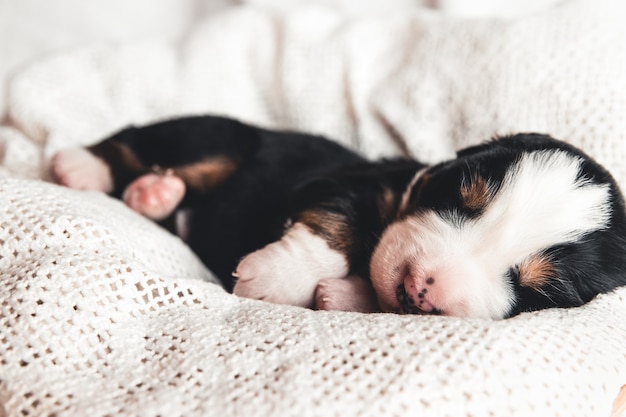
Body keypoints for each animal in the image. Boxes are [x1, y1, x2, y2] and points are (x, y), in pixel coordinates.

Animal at [50, 115, 624, 316]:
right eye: (463, 198)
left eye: (537, 290)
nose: (419, 288)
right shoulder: (352, 183)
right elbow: (338, 225)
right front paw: (278, 277)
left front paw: (340, 295)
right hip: (216, 134)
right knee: (139, 139)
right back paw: (82, 167)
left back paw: (154, 193)